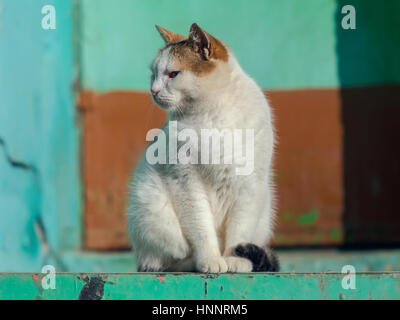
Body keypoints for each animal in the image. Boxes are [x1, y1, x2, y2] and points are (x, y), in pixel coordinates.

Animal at [128, 23, 278, 272]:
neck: (213, 113)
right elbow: (202, 229)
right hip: (150, 202)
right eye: (153, 75)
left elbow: (239, 230)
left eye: (173, 74)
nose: (153, 91)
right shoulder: (186, 182)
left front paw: (236, 259)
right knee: (168, 259)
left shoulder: (249, 185)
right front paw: (211, 259)